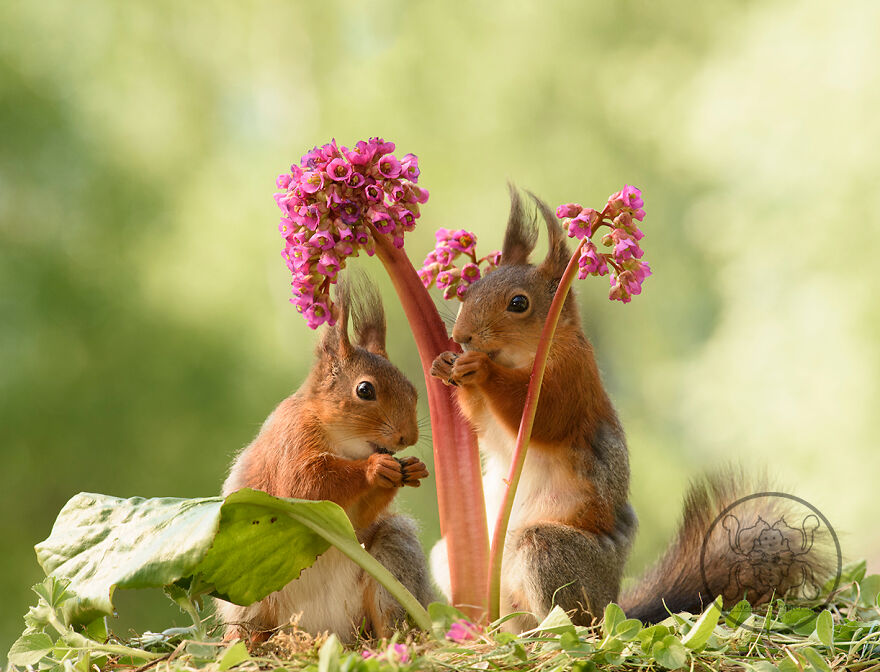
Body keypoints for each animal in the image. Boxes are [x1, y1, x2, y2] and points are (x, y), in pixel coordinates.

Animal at [216, 280, 435, 644]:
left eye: (412, 389)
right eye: (365, 390)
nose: (408, 437)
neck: (344, 443)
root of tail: (326, 630)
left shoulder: (349, 519)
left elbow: (357, 517)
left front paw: (412, 468)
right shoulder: (291, 444)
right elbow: (306, 483)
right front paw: (375, 469)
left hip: (391, 561)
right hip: (250, 589)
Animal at [429, 187, 833, 628]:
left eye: (518, 304)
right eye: (468, 291)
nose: (460, 336)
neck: (523, 357)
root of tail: (615, 604)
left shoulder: (572, 382)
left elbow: (539, 417)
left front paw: (480, 369)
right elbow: (486, 425)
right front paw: (445, 364)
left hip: (550, 555)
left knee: (574, 620)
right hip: (456, 562)